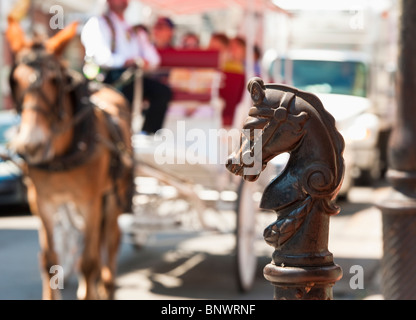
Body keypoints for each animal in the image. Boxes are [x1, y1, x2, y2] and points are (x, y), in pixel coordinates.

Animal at [6, 18, 133, 298]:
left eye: (54, 80)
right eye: (15, 81)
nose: (31, 145)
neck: (63, 153)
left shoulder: (91, 202)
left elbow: (89, 263)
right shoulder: (42, 203)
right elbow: (49, 261)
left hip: (112, 196)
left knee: (110, 243)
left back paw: (107, 285)